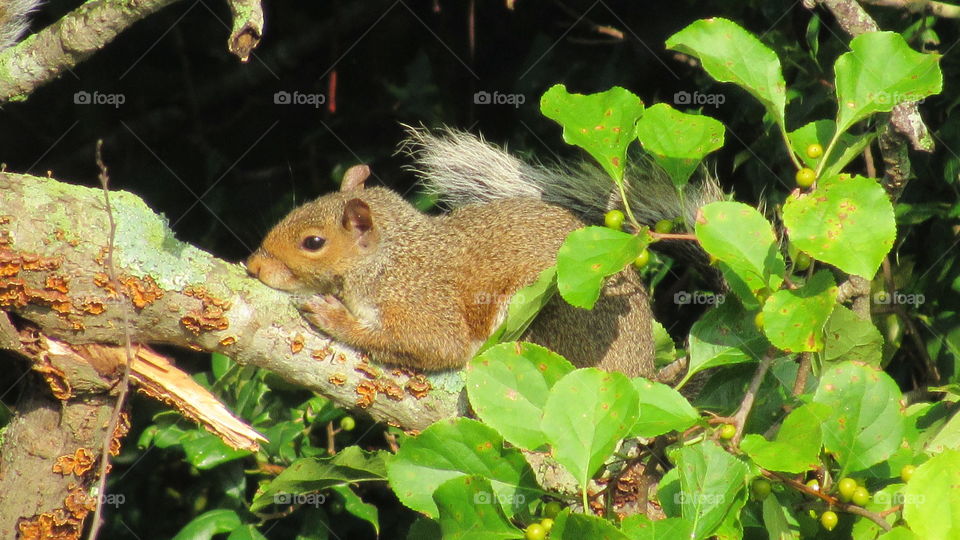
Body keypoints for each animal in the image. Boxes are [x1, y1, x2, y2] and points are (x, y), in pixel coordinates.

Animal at [246, 127, 719, 379]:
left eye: (313, 243)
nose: (253, 265)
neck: (390, 260)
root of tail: (640, 375)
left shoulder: (422, 302)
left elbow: (431, 345)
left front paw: (332, 315)